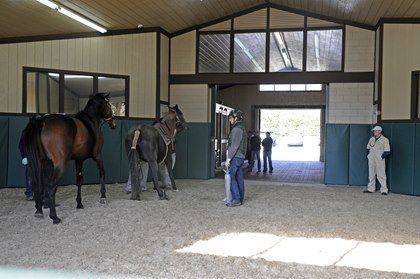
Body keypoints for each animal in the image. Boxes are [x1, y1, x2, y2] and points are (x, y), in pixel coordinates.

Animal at [24, 93, 117, 224]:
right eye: (108, 105)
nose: (114, 123)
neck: (91, 121)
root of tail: (43, 121)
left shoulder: (79, 160)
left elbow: (79, 181)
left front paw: (79, 203)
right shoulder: (97, 155)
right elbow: (102, 173)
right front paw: (103, 197)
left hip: (42, 163)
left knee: (41, 184)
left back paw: (39, 210)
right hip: (60, 165)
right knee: (51, 186)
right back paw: (54, 217)